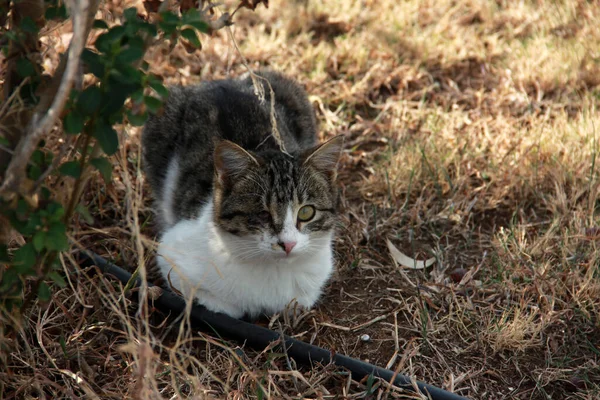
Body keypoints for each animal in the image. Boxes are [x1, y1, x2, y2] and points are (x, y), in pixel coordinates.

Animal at [141, 69, 344, 318]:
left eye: (306, 212)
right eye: (263, 214)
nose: (287, 244)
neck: (275, 269)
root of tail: (218, 82)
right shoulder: (171, 255)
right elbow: (222, 304)